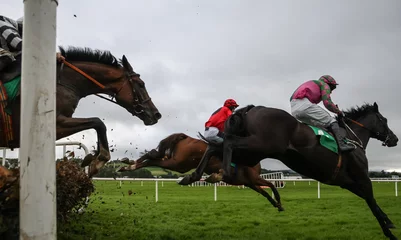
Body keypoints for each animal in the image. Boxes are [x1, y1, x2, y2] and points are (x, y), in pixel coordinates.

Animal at [0, 46, 161, 176]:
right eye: (141, 84)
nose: (156, 114)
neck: (62, 82)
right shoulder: (54, 123)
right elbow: (98, 122)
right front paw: (99, 160)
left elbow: (97, 124)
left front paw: (93, 157)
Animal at [115, 133, 284, 212]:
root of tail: (184, 137)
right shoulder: (253, 178)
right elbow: (271, 185)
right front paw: (279, 203)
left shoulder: (249, 183)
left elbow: (265, 192)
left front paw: (276, 204)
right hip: (178, 163)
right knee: (152, 158)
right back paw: (128, 166)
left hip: (178, 163)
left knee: (153, 156)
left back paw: (126, 164)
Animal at [180, 102, 398, 240]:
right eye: (384, 119)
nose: (394, 139)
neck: (352, 139)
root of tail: (252, 109)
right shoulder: (362, 178)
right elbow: (372, 201)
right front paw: (390, 231)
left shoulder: (347, 182)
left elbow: (371, 201)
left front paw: (388, 224)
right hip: (260, 145)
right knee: (228, 142)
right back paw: (221, 172)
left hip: (252, 154)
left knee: (215, 147)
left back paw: (192, 176)